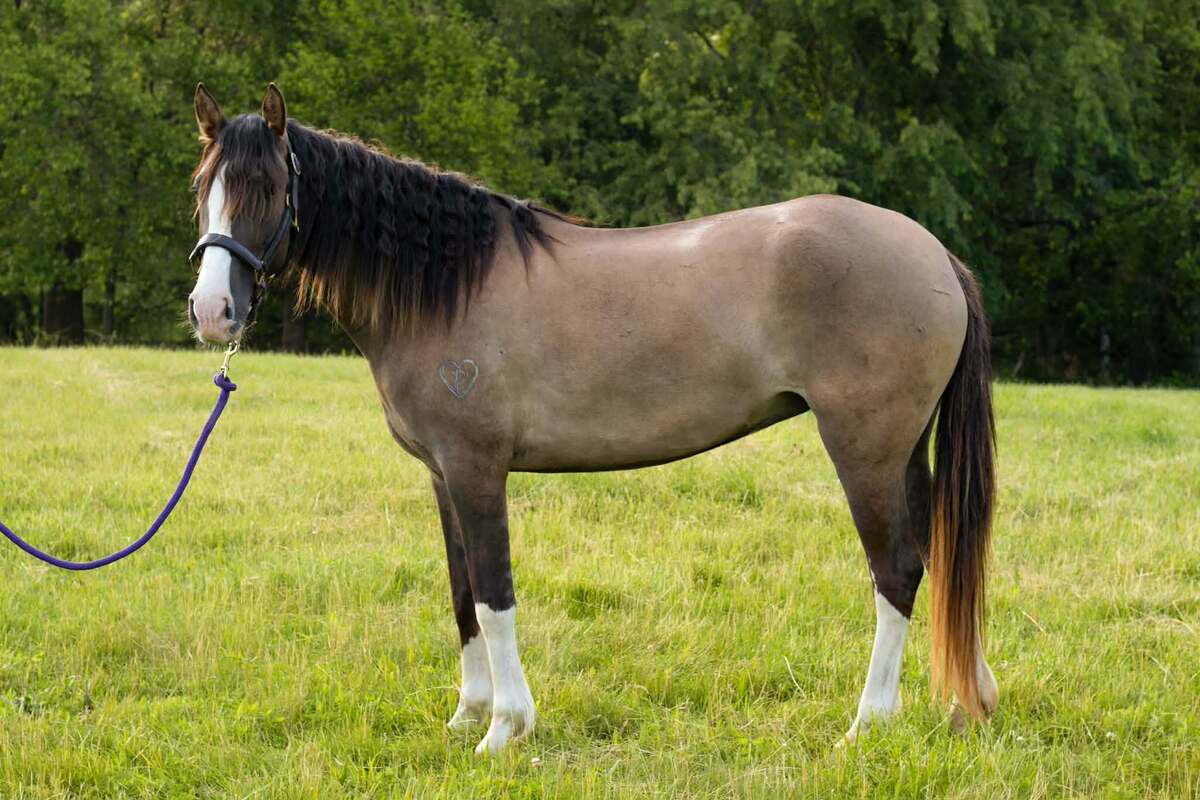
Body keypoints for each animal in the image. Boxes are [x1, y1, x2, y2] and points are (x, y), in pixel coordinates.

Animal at [187, 83, 999, 754]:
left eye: (267, 186)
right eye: (204, 189)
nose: (212, 311)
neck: (446, 286)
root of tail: (936, 256)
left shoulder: (477, 469)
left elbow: (494, 592)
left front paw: (506, 728)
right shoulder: (444, 476)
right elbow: (461, 591)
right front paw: (467, 715)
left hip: (863, 450)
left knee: (897, 571)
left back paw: (868, 723)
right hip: (905, 452)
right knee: (938, 557)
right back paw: (965, 701)